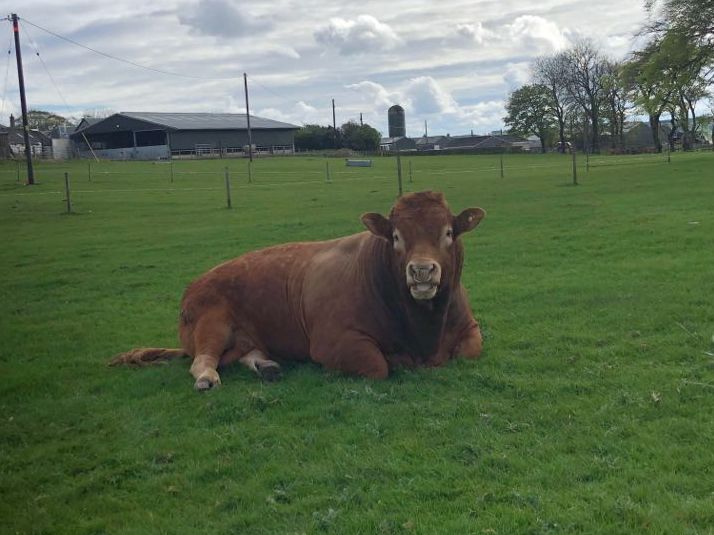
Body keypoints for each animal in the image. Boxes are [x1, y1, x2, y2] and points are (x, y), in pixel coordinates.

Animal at [110, 191, 486, 390]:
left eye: (448, 233)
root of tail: (195, 284)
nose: (421, 270)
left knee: (244, 353)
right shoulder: (335, 342)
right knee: (203, 359)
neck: (423, 330)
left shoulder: (470, 327)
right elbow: (378, 365)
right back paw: (207, 378)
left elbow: (471, 349)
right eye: (395, 237)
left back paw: (268, 367)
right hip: (210, 323)